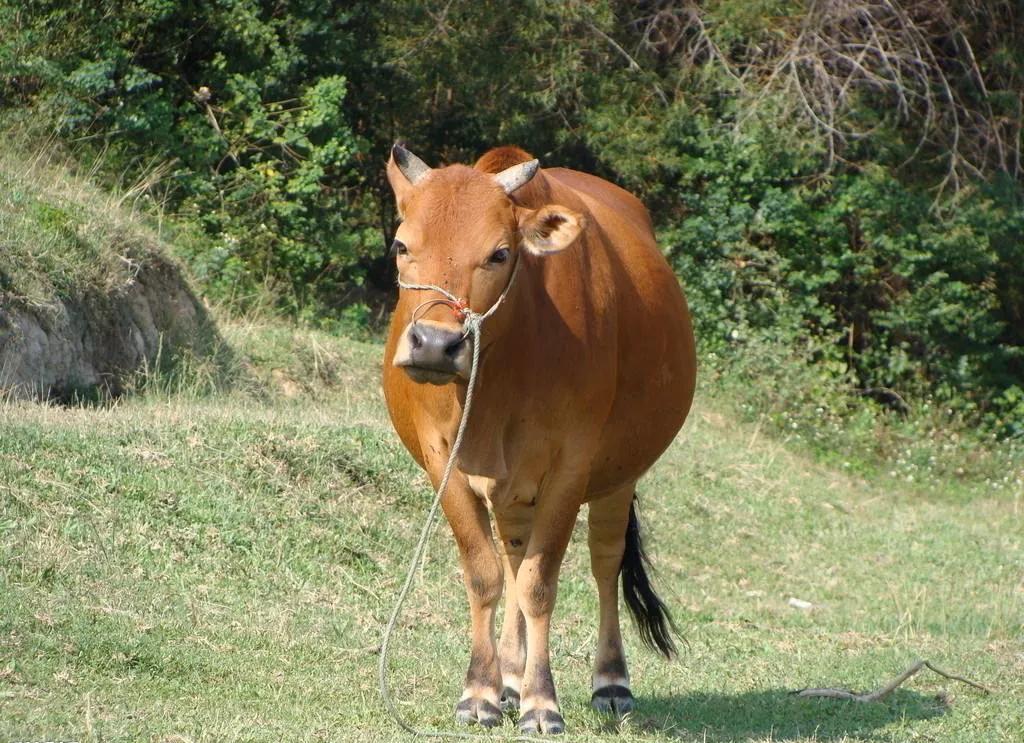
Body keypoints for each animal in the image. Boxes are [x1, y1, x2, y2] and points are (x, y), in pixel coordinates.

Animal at [385, 144, 696, 732]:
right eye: (401, 245)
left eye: (500, 253)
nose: (435, 344)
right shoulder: (444, 463)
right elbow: (485, 573)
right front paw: (481, 692)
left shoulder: (571, 468)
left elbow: (540, 583)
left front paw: (541, 702)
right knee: (511, 555)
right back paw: (509, 676)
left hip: (619, 478)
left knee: (603, 561)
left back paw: (610, 682)